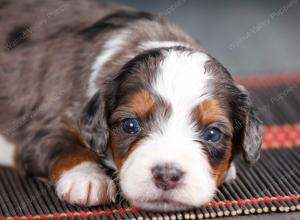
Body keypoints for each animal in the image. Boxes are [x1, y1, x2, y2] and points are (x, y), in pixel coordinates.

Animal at [0, 0, 262, 211]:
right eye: (131, 125)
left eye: (213, 133)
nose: (167, 175)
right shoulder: (42, 126)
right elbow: (62, 146)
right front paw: (88, 180)